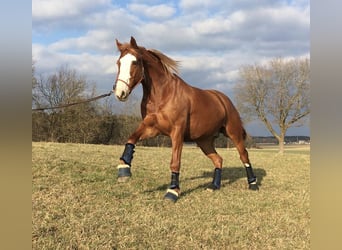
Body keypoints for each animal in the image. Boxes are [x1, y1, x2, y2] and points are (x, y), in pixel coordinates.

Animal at [114, 36, 256, 201]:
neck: (164, 94)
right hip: (204, 141)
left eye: (135, 62)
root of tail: (223, 99)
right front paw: (124, 170)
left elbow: (175, 162)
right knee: (218, 160)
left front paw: (173, 191)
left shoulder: (177, 132)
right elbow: (131, 139)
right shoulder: (152, 128)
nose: (120, 92)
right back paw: (214, 186)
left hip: (234, 133)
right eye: (118, 62)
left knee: (244, 155)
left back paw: (253, 184)